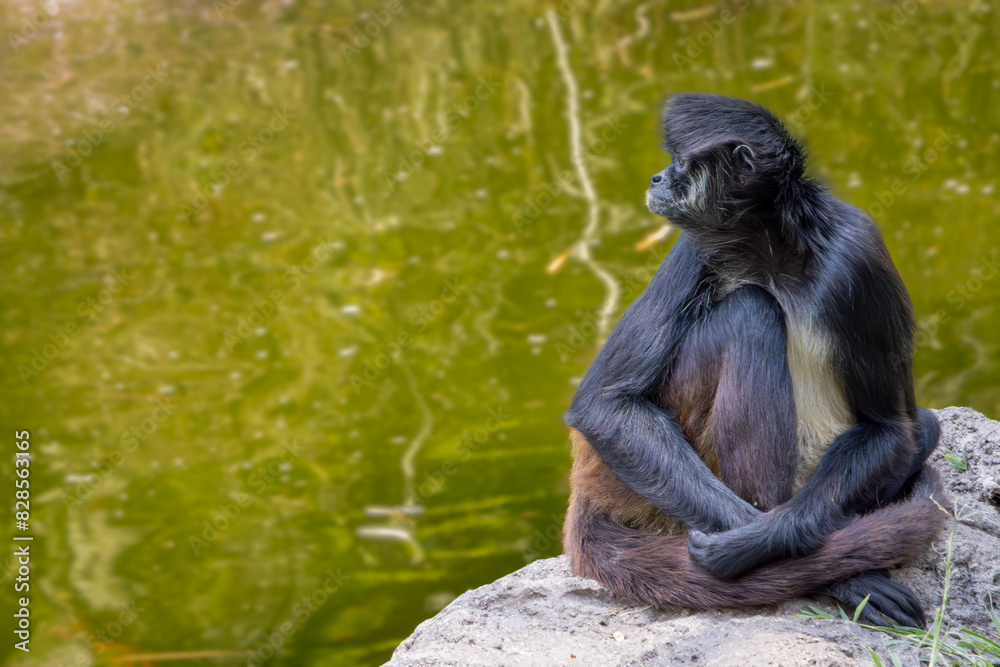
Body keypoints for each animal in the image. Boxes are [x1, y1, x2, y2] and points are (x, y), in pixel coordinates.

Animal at [562, 93, 946, 628]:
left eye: (680, 162)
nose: (657, 178)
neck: (774, 254)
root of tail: (589, 479)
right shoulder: (696, 244)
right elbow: (603, 404)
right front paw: (838, 572)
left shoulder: (858, 252)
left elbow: (891, 428)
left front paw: (751, 544)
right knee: (752, 311)